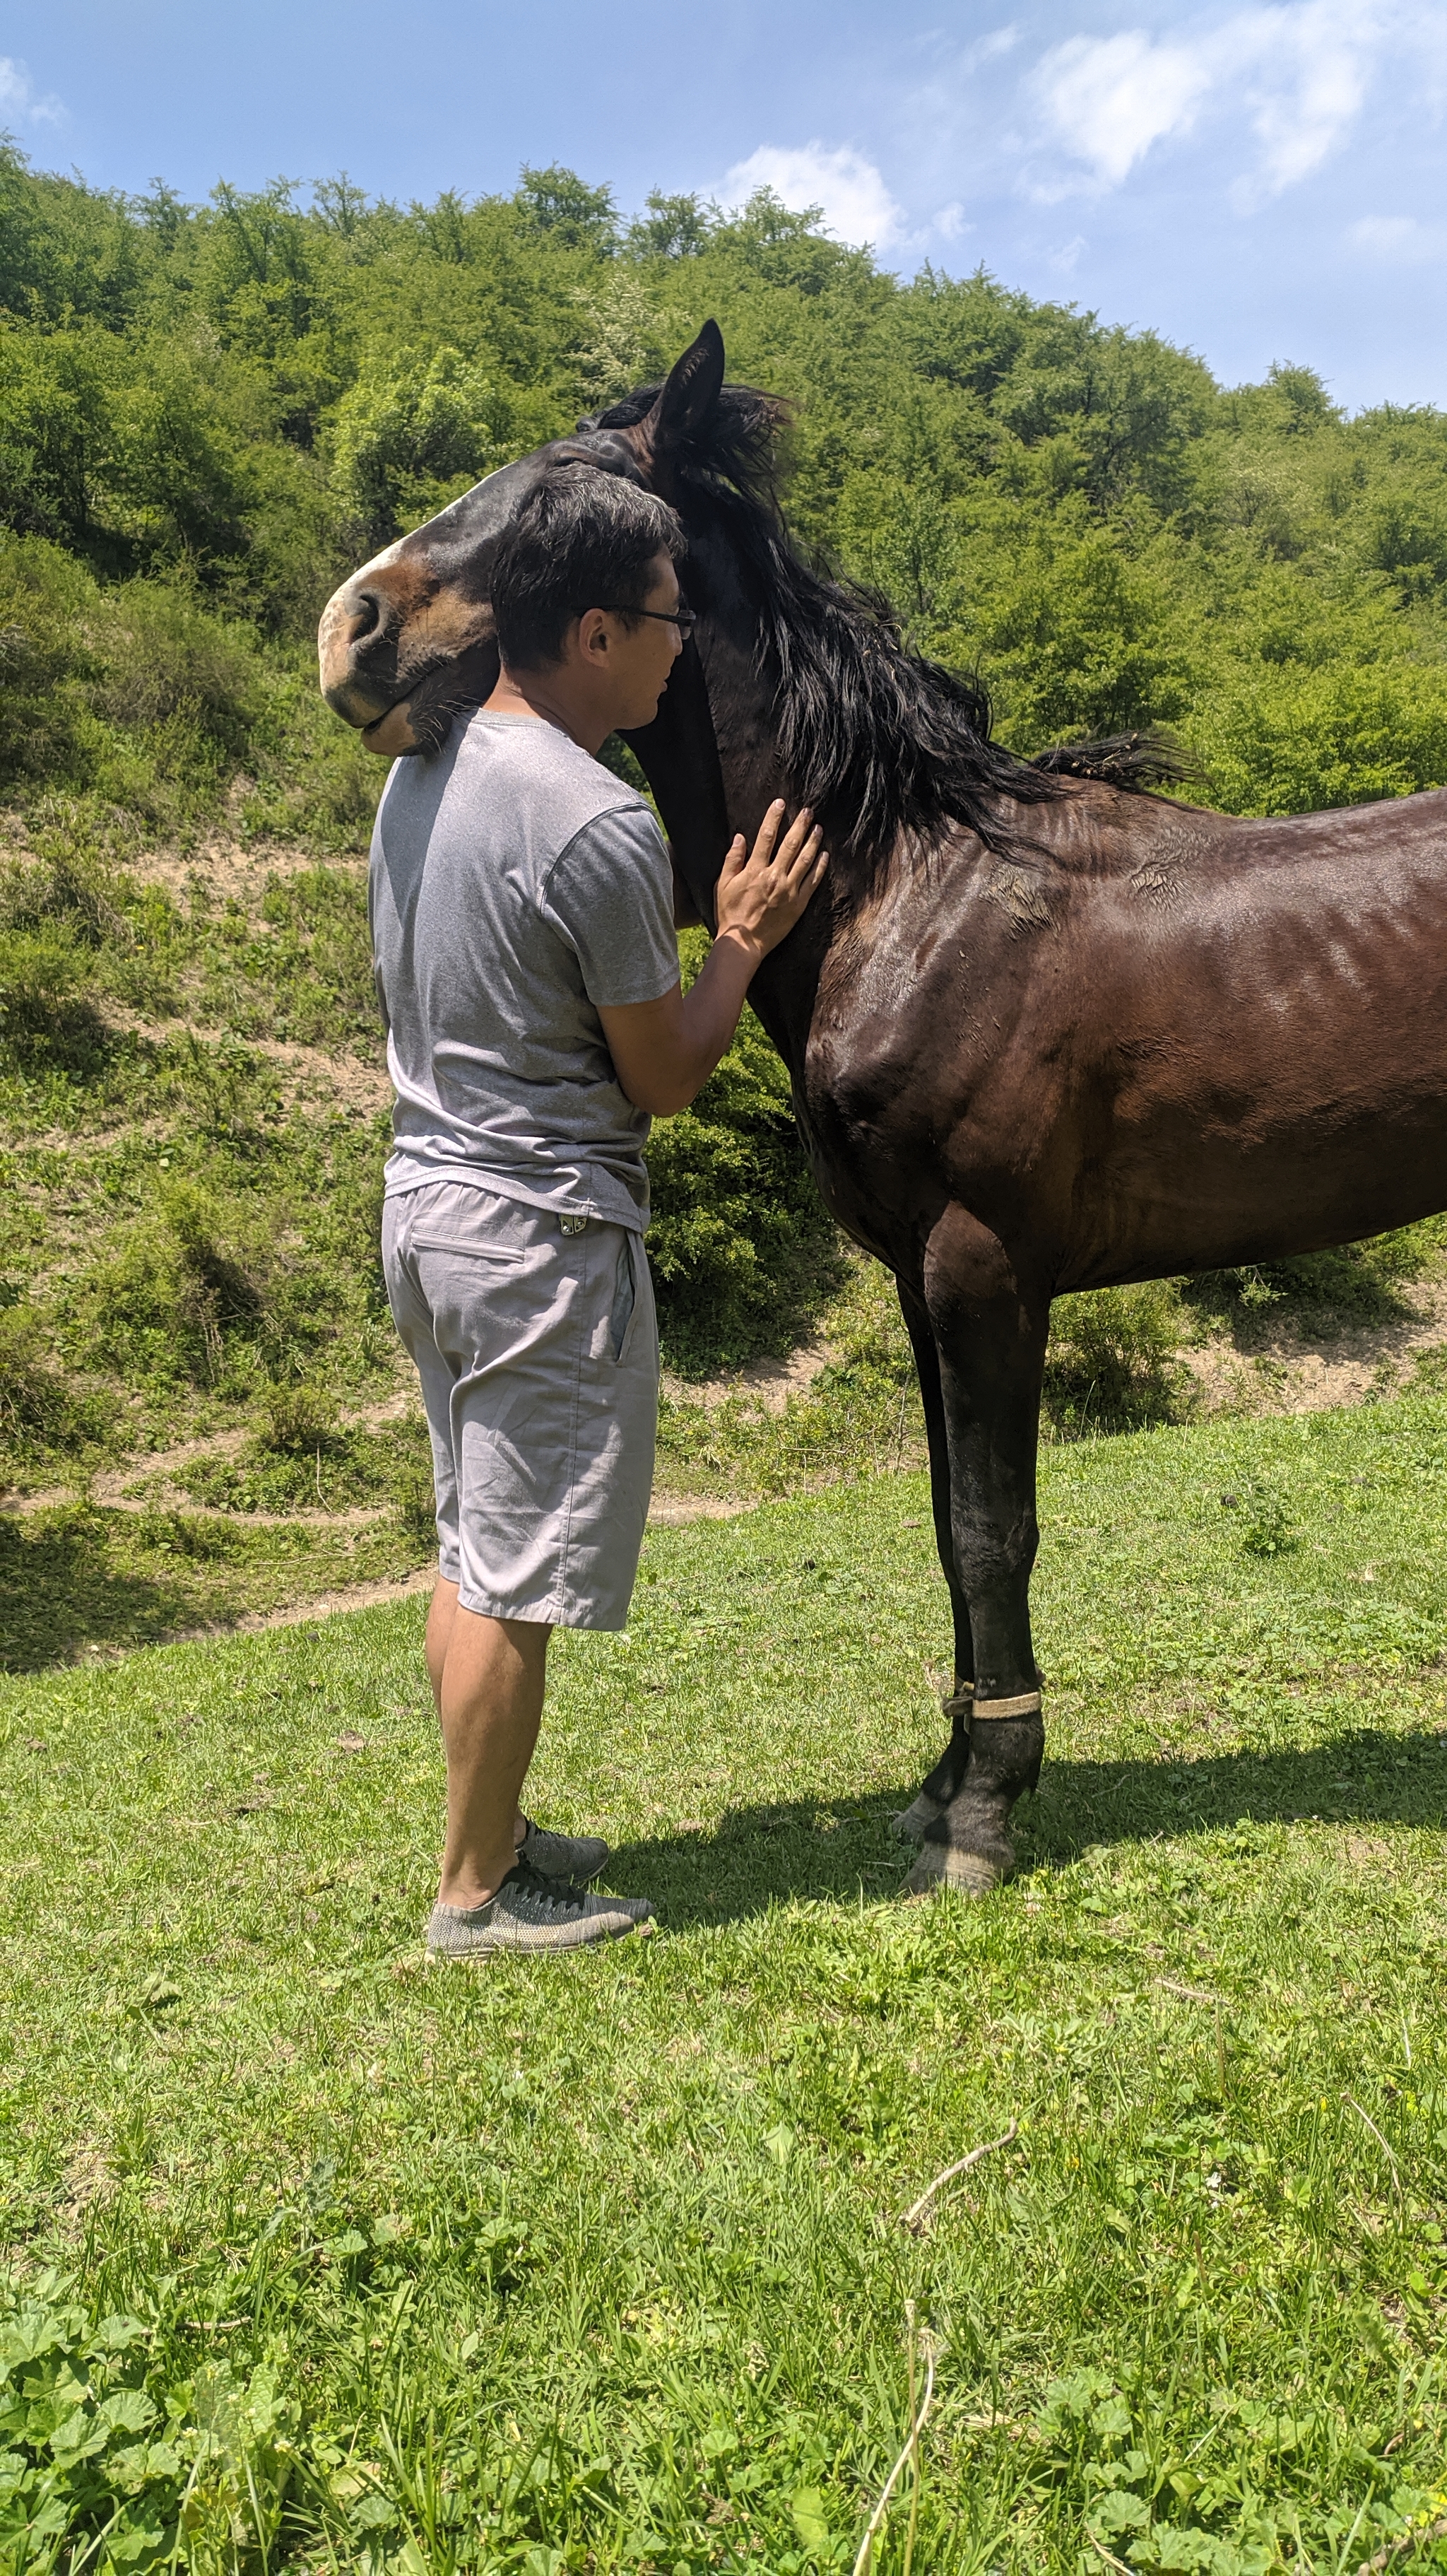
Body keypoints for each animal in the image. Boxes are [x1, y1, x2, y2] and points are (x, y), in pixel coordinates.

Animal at [320, 317, 1441, 1895]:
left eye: (554, 498)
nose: (353, 627)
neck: (905, 888)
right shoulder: (920, 1281)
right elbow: (938, 1520)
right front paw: (946, 1783)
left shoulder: (983, 1268)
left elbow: (987, 1529)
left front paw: (981, 1816)